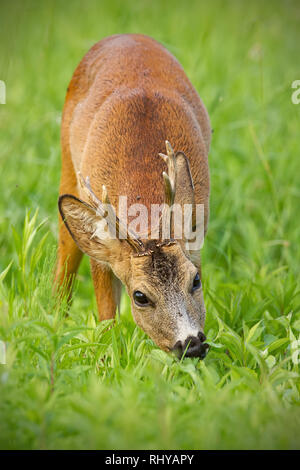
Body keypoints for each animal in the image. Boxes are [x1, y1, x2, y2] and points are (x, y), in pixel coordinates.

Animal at [55, 33, 211, 358]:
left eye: (195, 280)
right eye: (140, 296)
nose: (191, 344)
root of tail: (125, 36)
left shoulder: (196, 232)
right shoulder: (103, 253)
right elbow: (106, 319)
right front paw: (106, 359)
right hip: (67, 165)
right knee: (65, 260)